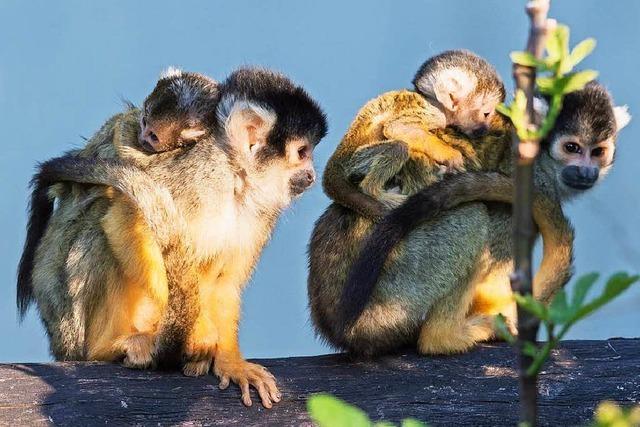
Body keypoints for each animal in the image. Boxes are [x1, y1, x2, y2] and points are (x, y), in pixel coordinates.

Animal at [17, 67, 328, 408]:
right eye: (302, 152)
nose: (311, 174)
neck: (233, 176)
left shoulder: (261, 211)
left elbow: (226, 280)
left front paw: (231, 362)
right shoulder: (195, 173)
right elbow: (124, 221)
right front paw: (200, 334)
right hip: (70, 326)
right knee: (101, 218)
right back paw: (112, 344)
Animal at [310, 82, 632, 356]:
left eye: (598, 152)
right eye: (572, 148)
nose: (586, 172)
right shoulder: (526, 187)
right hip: (390, 300)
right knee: (471, 215)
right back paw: (445, 337)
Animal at [322, 49, 508, 221]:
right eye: (486, 114)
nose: (484, 129)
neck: (434, 103)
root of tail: (337, 158)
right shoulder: (435, 114)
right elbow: (396, 128)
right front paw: (451, 155)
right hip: (356, 161)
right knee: (398, 147)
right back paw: (374, 191)